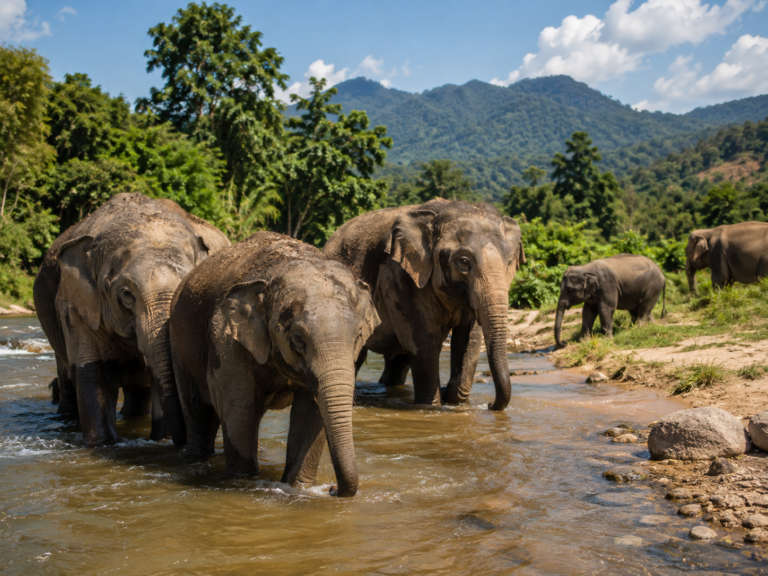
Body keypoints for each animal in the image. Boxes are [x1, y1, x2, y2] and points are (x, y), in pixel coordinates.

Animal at [33, 193, 229, 445]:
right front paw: (103, 443)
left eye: (186, 288)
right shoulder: (77, 305)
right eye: (126, 294)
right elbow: (94, 375)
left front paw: (162, 439)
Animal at [169, 231, 379, 497]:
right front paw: (243, 482)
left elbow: (310, 414)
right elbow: (240, 411)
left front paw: (298, 487)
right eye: (298, 340)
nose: (332, 488)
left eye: (358, 336)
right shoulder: (225, 340)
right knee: (198, 410)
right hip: (179, 343)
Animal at [324, 198, 525, 410]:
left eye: (509, 262)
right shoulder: (401, 278)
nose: (489, 405)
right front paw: (431, 407)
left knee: (398, 361)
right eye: (463, 262)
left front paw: (454, 402)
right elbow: (424, 343)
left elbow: (469, 341)